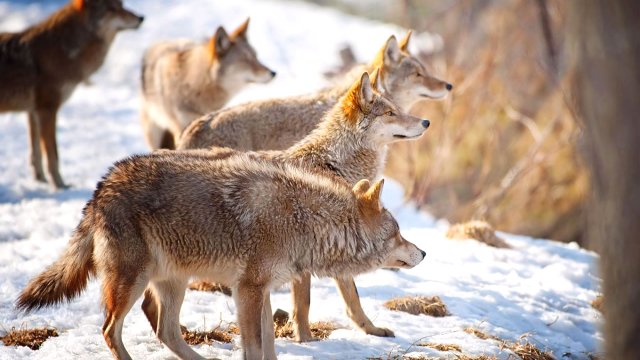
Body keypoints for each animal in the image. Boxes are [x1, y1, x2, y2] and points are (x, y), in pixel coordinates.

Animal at [0, 0, 144, 190]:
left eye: (122, 5)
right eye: (113, 9)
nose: (141, 18)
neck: (63, 49)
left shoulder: (32, 111)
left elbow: (36, 153)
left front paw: (40, 181)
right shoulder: (47, 109)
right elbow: (53, 154)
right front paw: (59, 185)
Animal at [15, 150, 424, 360]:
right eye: (398, 232)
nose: (422, 251)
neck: (301, 218)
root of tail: (101, 187)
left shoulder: (259, 291)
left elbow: (270, 346)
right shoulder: (248, 291)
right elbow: (255, 348)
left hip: (173, 282)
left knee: (166, 332)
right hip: (133, 283)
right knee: (110, 331)